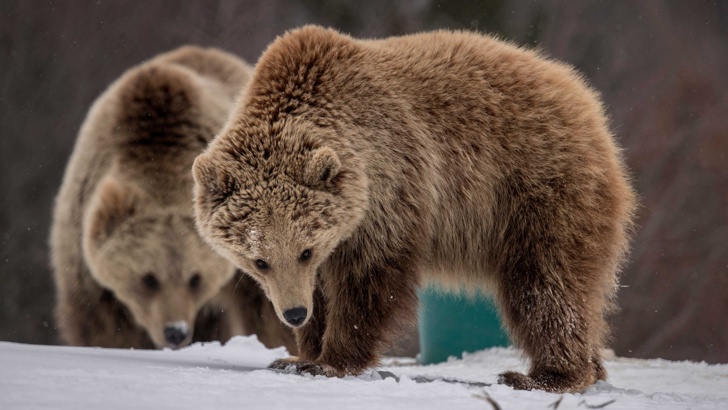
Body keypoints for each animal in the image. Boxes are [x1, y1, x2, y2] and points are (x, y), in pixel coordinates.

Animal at [50, 45, 296, 352]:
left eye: (195, 278)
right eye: (148, 279)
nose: (175, 332)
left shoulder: (249, 254)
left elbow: (269, 309)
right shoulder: (85, 263)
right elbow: (102, 326)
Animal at [192, 26, 636, 394]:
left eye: (304, 251)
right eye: (259, 261)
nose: (295, 313)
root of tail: (585, 101)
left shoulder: (391, 183)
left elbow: (369, 279)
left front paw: (330, 360)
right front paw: (299, 354)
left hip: (538, 188)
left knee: (547, 284)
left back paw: (544, 375)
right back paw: (590, 367)